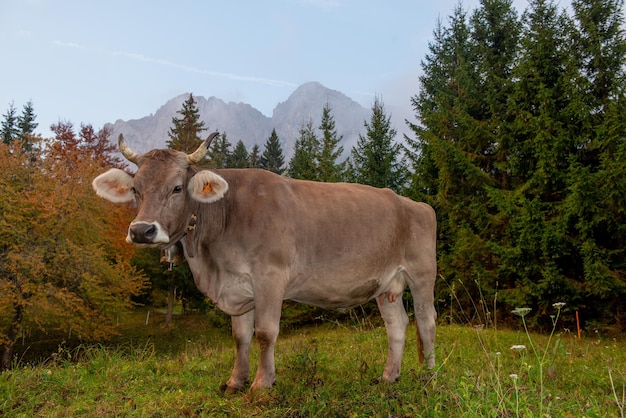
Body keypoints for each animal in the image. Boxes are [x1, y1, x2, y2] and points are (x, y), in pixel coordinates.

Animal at [92, 134, 436, 392]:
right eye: (135, 189)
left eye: (177, 188)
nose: (141, 230)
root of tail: (413, 203)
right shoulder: (239, 287)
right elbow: (240, 336)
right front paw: (235, 382)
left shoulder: (270, 277)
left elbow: (266, 332)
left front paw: (261, 383)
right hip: (386, 285)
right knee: (397, 324)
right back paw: (389, 376)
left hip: (422, 274)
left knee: (426, 321)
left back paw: (428, 376)